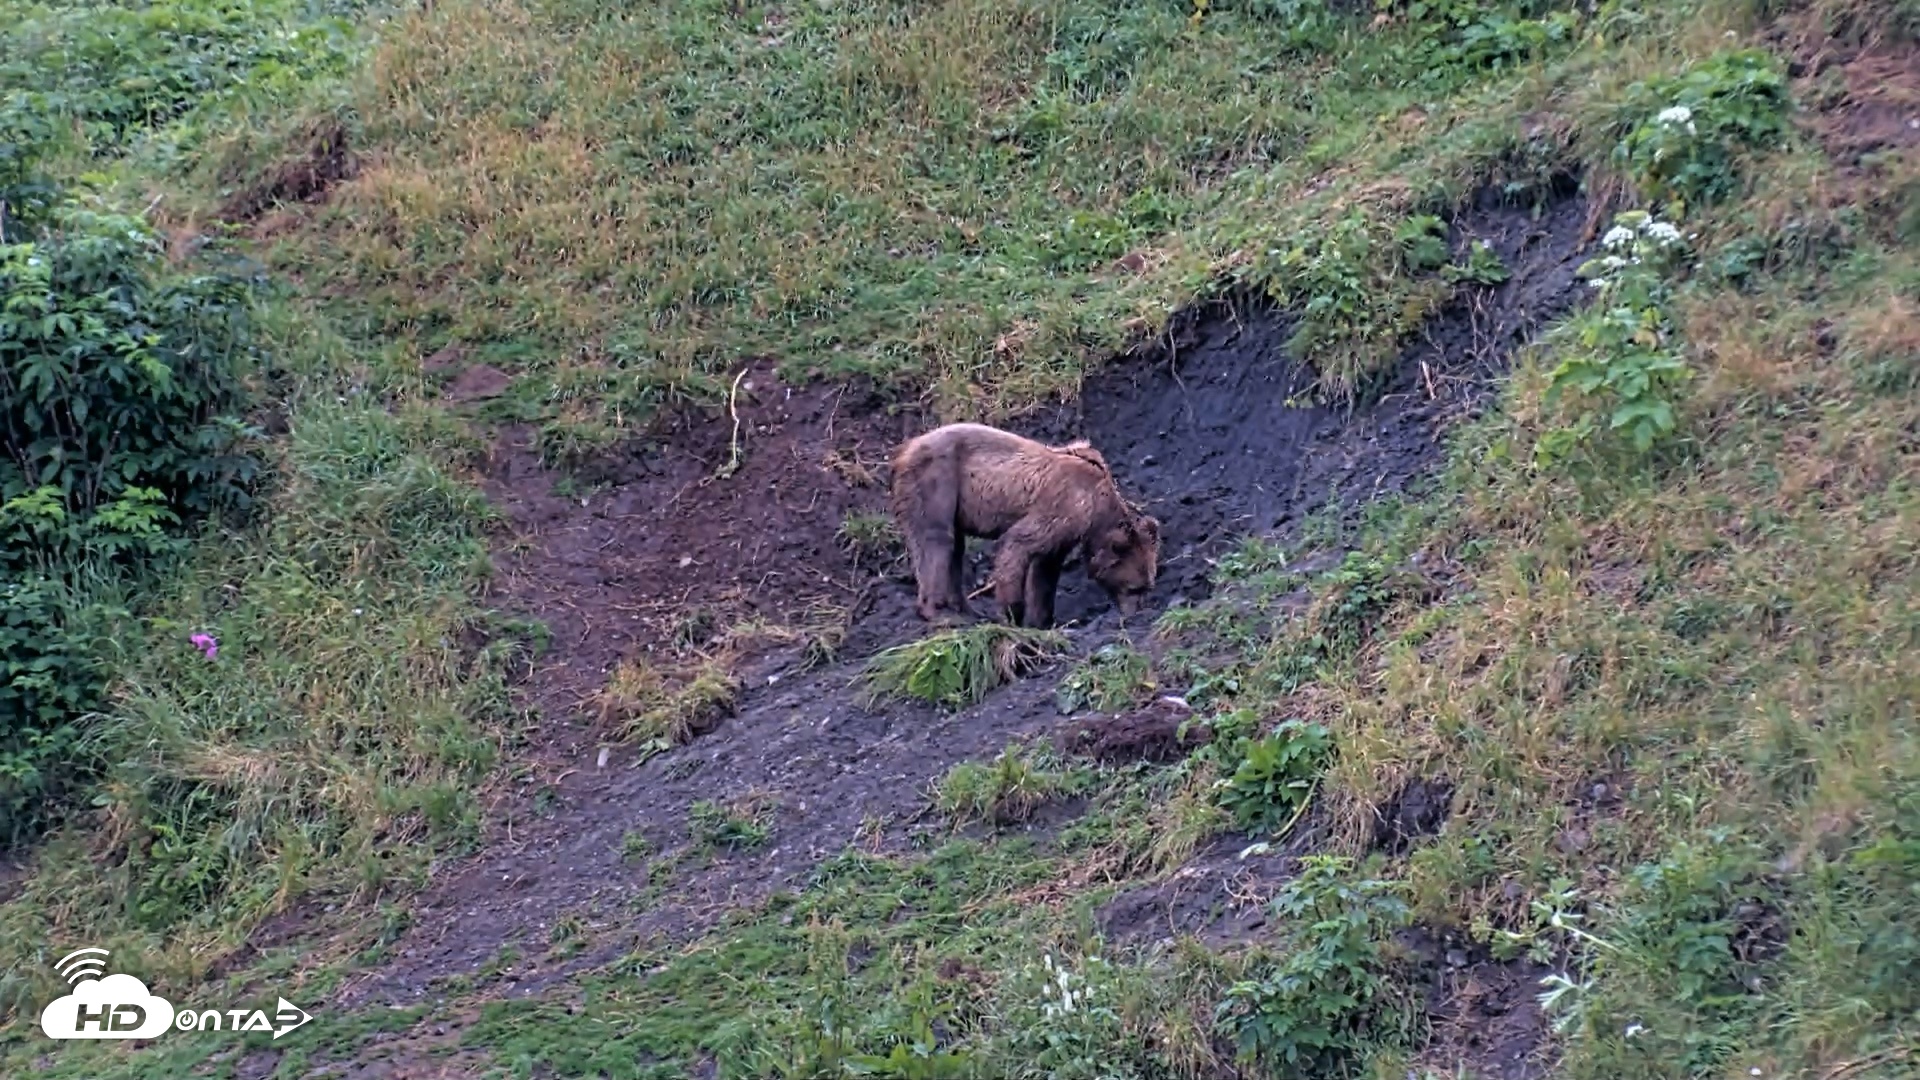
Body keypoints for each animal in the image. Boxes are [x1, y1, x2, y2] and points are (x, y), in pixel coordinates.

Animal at [888, 422, 1161, 629]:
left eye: (1147, 586)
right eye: (1134, 588)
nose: (1136, 614)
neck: (1098, 507)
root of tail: (905, 448)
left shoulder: (1067, 531)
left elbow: (1046, 570)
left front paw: (1043, 619)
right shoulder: (1065, 507)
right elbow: (1018, 543)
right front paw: (1012, 614)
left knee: (955, 548)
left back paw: (967, 611)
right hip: (937, 478)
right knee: (936, 540)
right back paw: (939, 613)